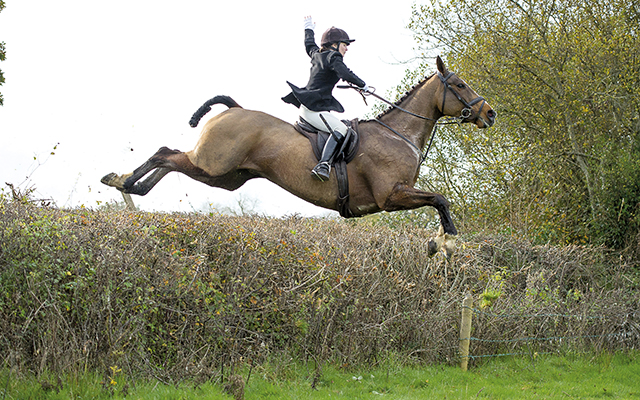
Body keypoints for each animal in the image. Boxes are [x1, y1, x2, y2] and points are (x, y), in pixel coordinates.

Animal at [102, 55, 498, 256]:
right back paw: (122, 181)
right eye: (459, 85)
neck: (398, 134)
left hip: (225, 177)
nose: (490, 113)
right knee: (165, 153)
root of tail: (234, 109)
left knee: (170, 160)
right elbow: (441, 199)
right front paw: (446, 241)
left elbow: (439, 202)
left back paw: (131, 188)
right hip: (214, 164)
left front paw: (441, 241)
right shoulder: (391, 196)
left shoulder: (397, 196)